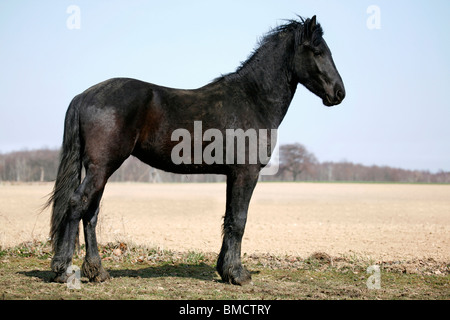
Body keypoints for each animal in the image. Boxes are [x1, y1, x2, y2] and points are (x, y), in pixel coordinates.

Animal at [46, 15, 344, 284]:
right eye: (318, 51)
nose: (339, 93)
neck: (252, 99)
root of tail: (84, 96)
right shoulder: (246, 173)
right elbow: (239, 220)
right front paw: (238, 274)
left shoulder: (232, 175)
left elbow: (229, 219)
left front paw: (225, 269)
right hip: (102, 167)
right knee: (77, 204)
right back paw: (63, 270)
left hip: (100, 169)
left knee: (91, 213)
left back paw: (97, 272)